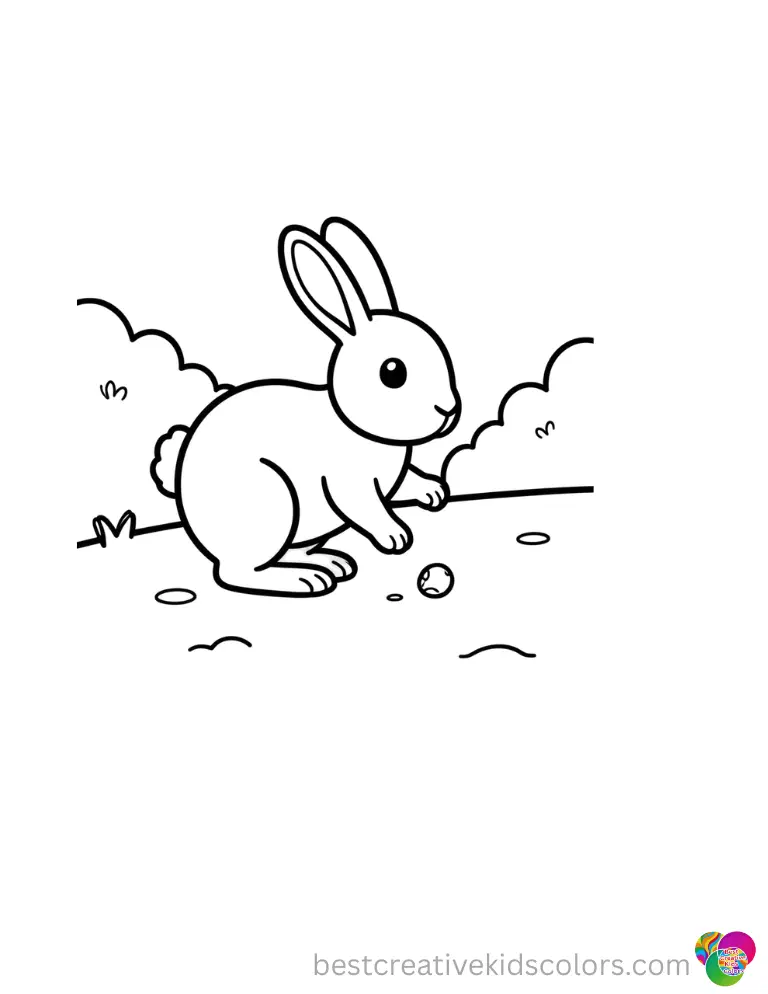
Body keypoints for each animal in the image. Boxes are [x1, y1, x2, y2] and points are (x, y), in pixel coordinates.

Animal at [151, 217, 461, 596]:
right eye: (393, 372)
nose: (449, 411)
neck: (353, 424)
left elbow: (406, 483)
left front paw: (434, 491)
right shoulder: (349, 482)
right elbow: (366, 508)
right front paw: (396, 535)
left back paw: (331, 564)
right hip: (270, 505)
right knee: (236, 573)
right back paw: (305, 579)